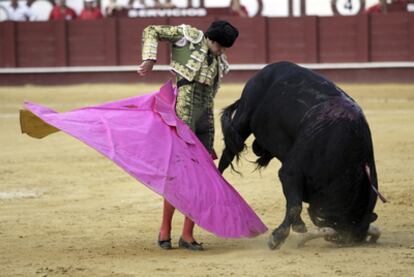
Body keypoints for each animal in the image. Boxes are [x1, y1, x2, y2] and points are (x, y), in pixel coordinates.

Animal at [218, 62, 380, 248]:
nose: (337, 238)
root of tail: (266, 69)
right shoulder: (290, 172)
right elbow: (295, 205)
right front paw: (278, 237)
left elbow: (294, 203)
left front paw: (288, 230)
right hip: (243, 119)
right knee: (227, 155)